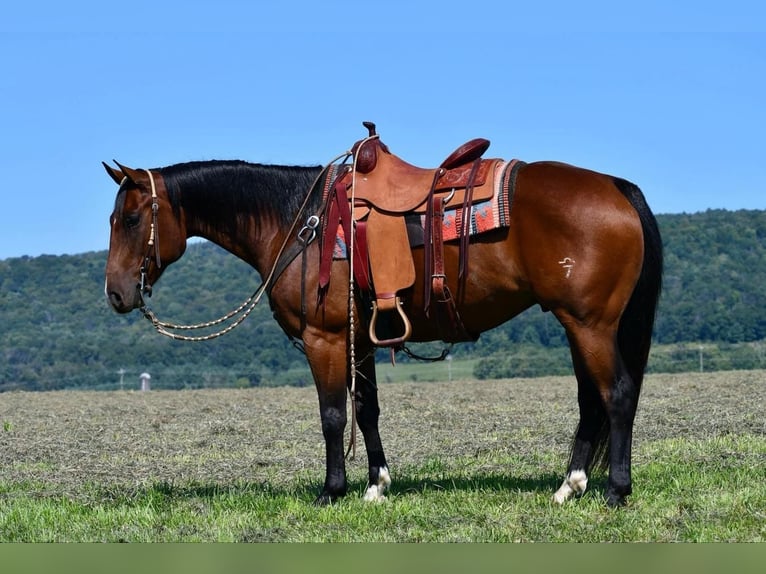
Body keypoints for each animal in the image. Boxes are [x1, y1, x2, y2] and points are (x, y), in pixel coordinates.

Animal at [105, 126, 664, 508]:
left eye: (130, 219)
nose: (115, 293)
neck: (297, 221)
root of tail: (616, 187)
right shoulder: (363, 340)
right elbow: (367, 410)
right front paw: (376, 484)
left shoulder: (325, 339)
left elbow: (333, 415)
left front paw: (332, 490)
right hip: (578, 324)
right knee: (591, 400)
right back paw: (570, 485)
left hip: (590, 325)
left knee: (616, 394)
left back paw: (615, 491)